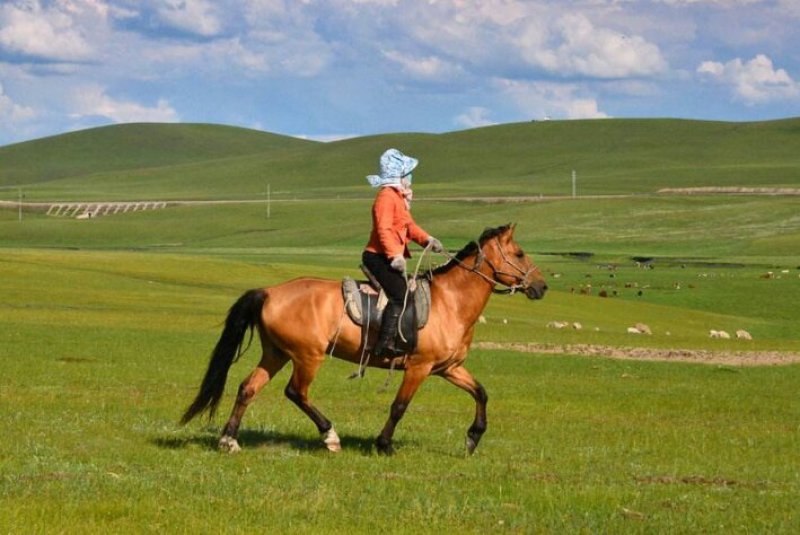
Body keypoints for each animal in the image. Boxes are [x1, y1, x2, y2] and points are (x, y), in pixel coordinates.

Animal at [180, 223, 548, 455]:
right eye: (519, 253)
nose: (541, 287)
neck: (450, 302)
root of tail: (269, 291)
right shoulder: (419, 367)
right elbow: (399, 406)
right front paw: (383, 444)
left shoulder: (449, 368)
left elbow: (481, 393)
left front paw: (473, 438)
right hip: (307, 356)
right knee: (296, 392)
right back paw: (330, 436)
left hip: (276, 354)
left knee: (248, 388)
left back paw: (229, 440)